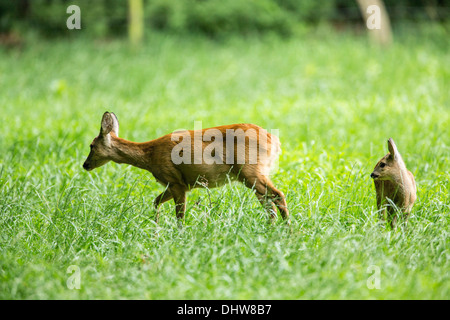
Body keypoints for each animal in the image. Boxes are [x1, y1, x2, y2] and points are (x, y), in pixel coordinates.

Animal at [82, 112, 290, 225]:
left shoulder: (176, 182)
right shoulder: (174, 184)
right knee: (269, 204)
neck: (149, 156)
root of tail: (275, 140)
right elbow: (156, 202)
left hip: (251, 170)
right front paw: (156, 228)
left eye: (91, 146)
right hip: (252, 175)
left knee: (278, 195)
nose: (85, 165)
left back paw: (289, 233)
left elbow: (179, 215)